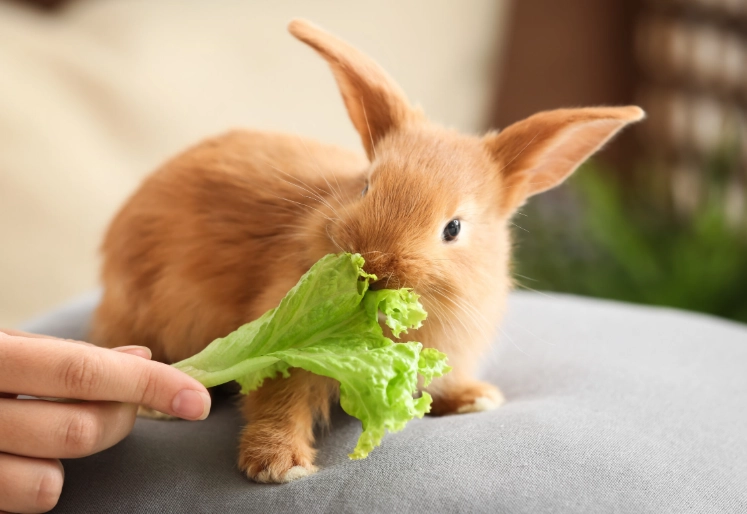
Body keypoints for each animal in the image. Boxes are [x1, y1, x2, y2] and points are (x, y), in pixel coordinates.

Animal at [90, 19, 644, 483]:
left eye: (453, 228)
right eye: (366, 187)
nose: (374, 266)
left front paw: (475, 399)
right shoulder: (282, 344)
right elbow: (278, 400)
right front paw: (279, 466)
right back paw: (158, 404)